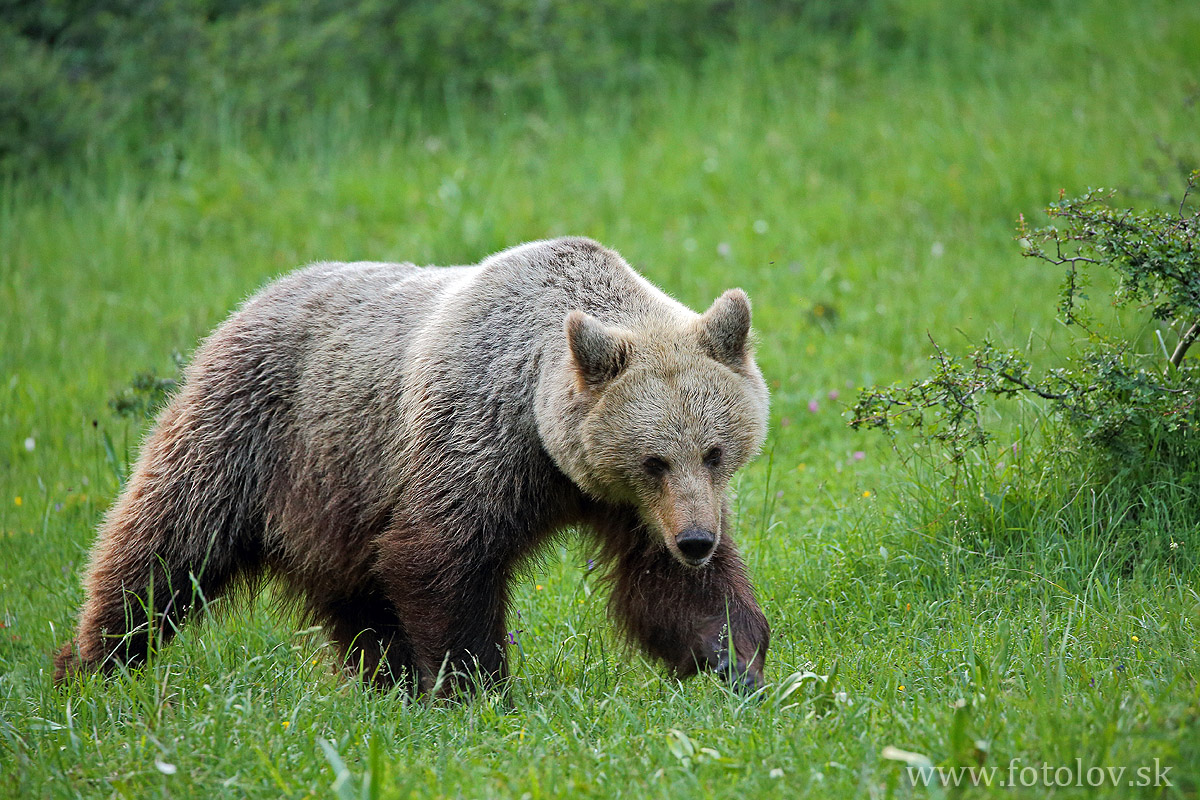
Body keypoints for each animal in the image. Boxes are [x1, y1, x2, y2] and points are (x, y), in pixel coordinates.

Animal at [51, 236, 772, 695]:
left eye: (714, 452)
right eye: (653, 460)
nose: (697, 540)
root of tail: (249, 302)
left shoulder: (624, 505)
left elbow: (670, 589)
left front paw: (736, 663)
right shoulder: (479, 440)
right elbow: (439, 556)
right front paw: (478, 688)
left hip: (337, 495)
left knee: (355, 598)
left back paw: (387, 683)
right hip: (254, 436)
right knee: (165, 547)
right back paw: (91, 665)